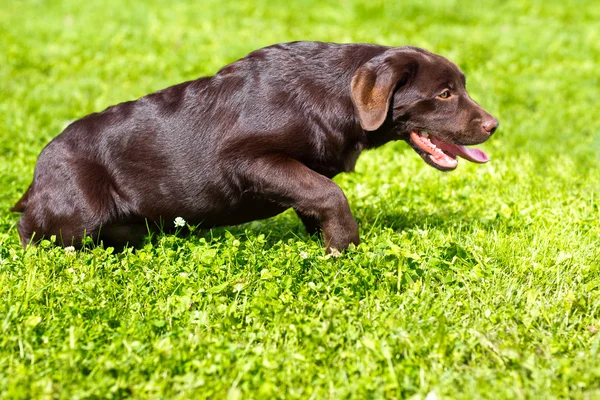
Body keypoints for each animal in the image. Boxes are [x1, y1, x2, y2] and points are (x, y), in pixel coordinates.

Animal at [12, 41, 496, 253]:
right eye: (444, 94)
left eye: (461, 87)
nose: (493, 125)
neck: (337, 96)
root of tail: (35, 178)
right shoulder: (245, 159)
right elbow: (329, 194)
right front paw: (346, 248)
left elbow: (315, 195)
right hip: (78, 214)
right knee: (34, 233)